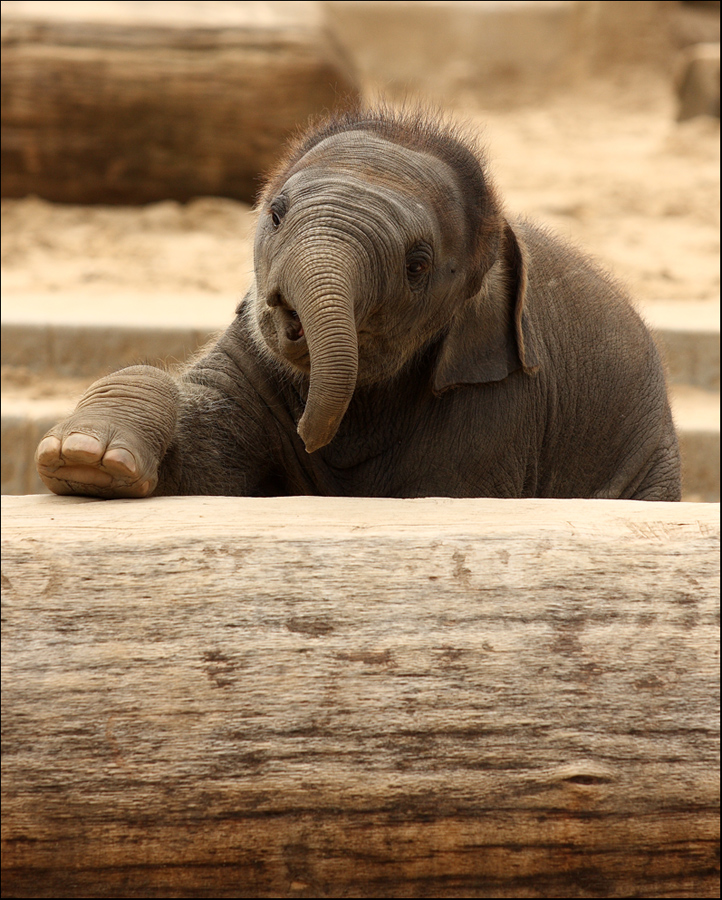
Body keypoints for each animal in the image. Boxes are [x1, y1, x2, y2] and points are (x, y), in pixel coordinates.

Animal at [36, 107, 680, 500]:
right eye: (276, 214)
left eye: (417, 264)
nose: (305, 436)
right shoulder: (247, 355)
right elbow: (209, 466)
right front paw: (86, 458)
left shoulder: (499, 405)